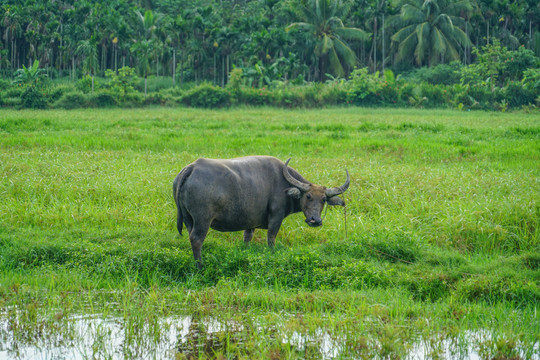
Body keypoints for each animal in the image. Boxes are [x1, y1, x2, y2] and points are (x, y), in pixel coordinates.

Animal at [173, 156, 350, 268]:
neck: (283, 184)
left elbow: (247, 238)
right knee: (196, 239)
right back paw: (200, 266)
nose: (315, 220)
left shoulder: (249, 222)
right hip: (203, 219)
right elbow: (271, 239)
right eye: (308, 196)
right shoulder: (276, 218)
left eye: (324, 199)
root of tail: (192, 167)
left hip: (189, 219)